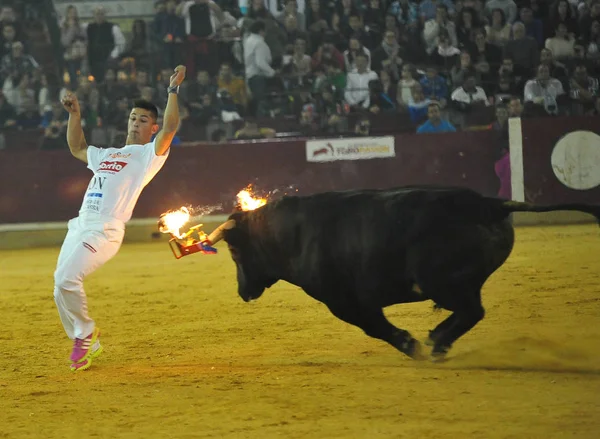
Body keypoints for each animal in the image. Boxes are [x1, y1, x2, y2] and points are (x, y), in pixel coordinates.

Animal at [221, 186, 600, 360]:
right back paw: (439, 339)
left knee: (472, 310)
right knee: (469, 310)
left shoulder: (344, 301)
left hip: (440, 281)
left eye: (235, 251)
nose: (242, 292)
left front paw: (410, 345)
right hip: (456, 282)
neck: (295, 233)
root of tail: (486, 203)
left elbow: (376, 328)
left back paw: (437, 342)